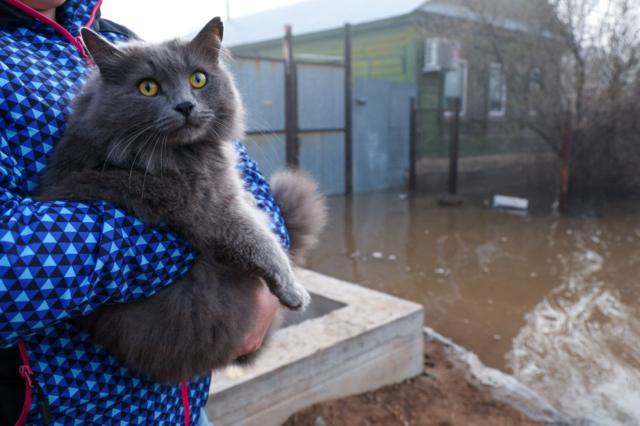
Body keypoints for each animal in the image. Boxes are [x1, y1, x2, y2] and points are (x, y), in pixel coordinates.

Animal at [33, 16, 328, 384]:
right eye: (147, 87)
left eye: (198, 79)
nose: (186, 106)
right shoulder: (214, 209)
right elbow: (264, 244)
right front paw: (294, 292)